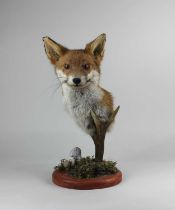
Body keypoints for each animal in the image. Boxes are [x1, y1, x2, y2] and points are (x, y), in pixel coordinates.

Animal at [42, 33, 119, 161]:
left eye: (86, 66)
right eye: (66, 66)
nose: (76, 80)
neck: (83, 106)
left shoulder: (102, 119)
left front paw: (98, 162)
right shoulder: (87, 125)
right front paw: (96, 161)